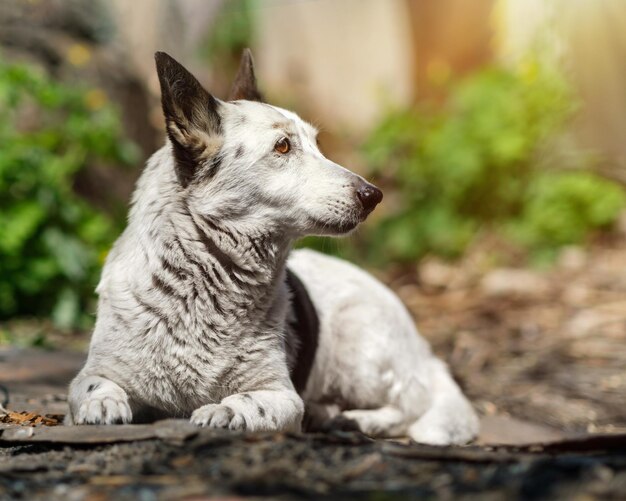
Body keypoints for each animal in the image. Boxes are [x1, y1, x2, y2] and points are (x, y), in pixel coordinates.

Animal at [68, 50, 476, 446]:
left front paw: (224, 412)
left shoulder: (281, 395)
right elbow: (89, 387)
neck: (201, 289)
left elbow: (248, 402)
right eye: (283, 146)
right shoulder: (98, 372)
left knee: (406, 409)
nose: (373, 195)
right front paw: (102, 403)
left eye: (317, 145)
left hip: (360, 347)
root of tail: (424, 353)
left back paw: (351, 418)